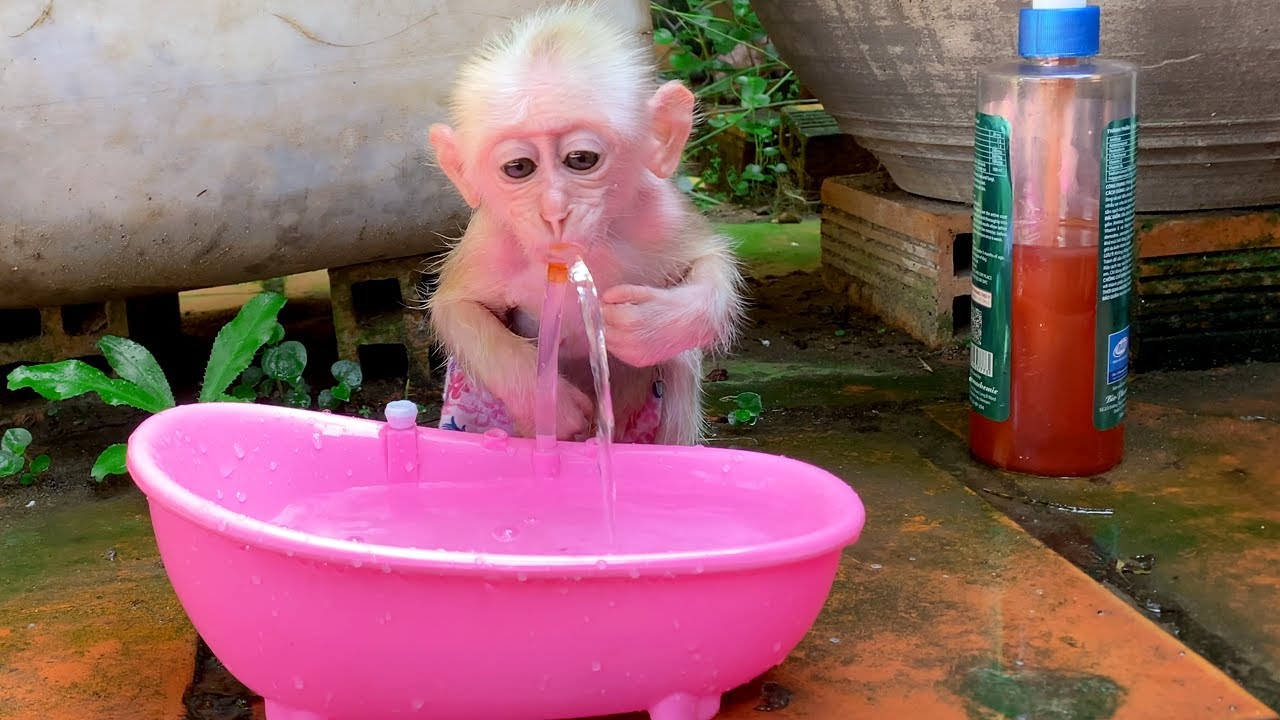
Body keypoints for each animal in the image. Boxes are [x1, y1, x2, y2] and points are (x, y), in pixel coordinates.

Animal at [424, 1, 744, 446]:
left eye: (580, 159)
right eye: (518, 167)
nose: (555, 211)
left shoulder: (661, 212)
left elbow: (709, 262)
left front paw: (649, 325)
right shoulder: (489, 238)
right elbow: (456, 308)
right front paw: (545, 398)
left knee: (679, 364)